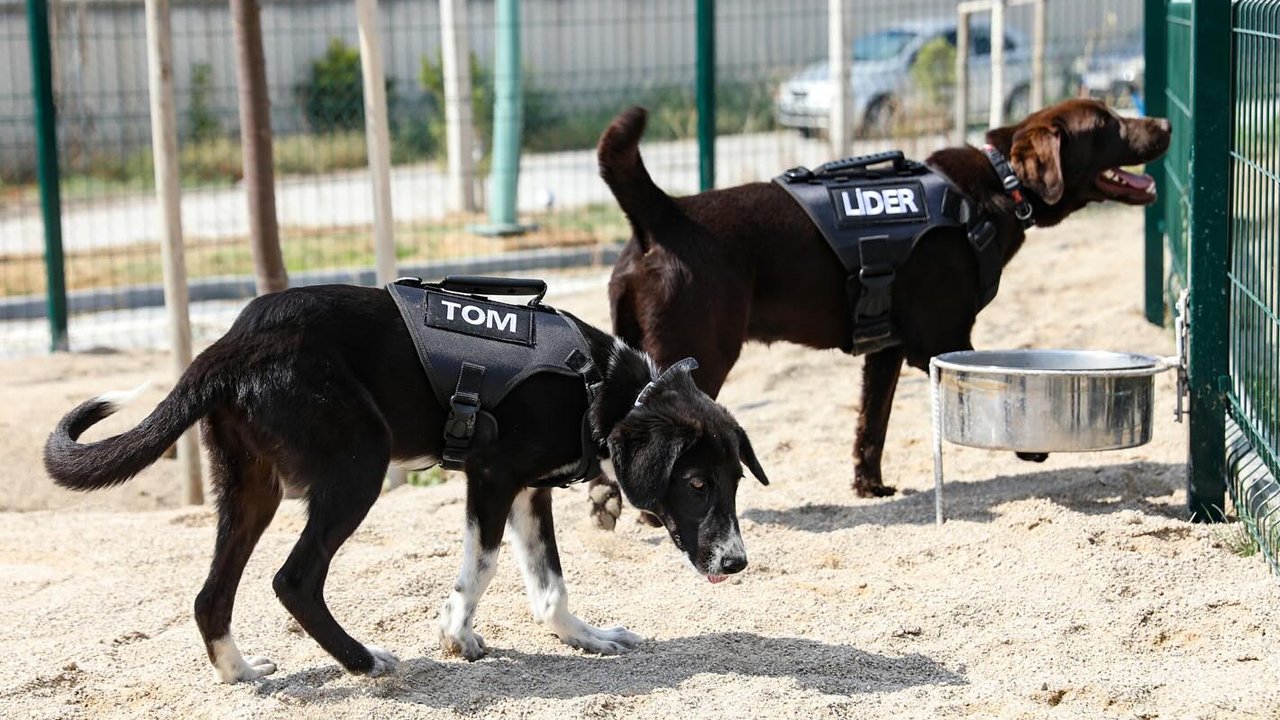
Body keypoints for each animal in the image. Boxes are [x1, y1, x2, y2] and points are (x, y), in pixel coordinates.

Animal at [45, 280, 762, 676]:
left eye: (733, 484)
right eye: (697, 485)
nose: (735, 563)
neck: (605, 391)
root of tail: (233, 345)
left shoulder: (530, 492)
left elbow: (549, 585)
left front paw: (585, 638)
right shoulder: (491, 477)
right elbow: (484, 567)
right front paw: (454, 633)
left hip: (252, 490)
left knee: (210, 595)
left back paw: (240, 673)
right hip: (360, 463)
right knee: (292, 579)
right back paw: (363, 662)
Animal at [593, 98, 1167, 497]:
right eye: (1109, 123)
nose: (1163, 124)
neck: (998, 183)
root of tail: (664, 214)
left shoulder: (886, 350)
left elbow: (873, 424)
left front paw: (869, 487)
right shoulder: (940, 340)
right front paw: (1029, 446)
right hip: (701, 354)